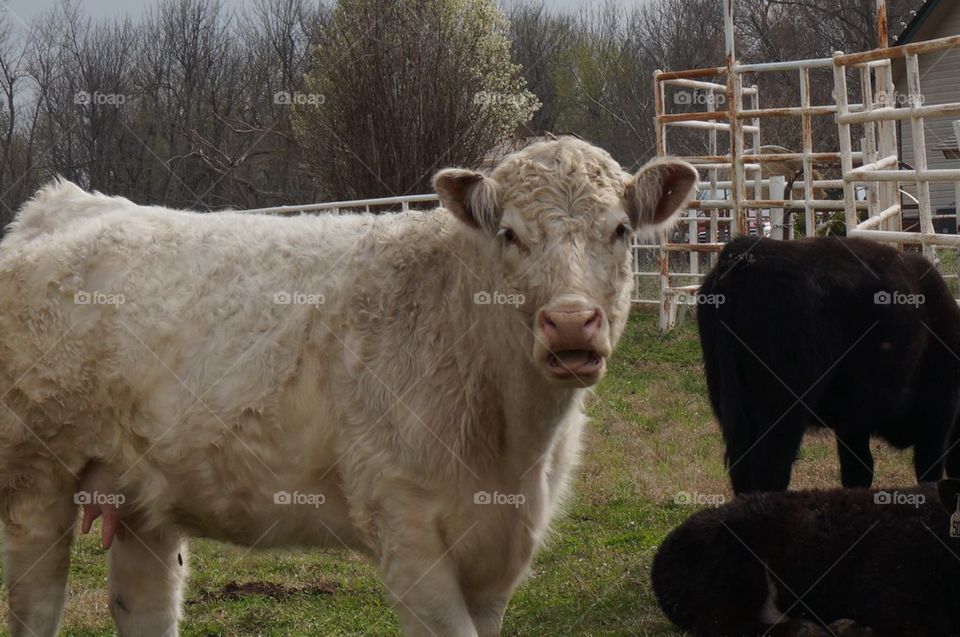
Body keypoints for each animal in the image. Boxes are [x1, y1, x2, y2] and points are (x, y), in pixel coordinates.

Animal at [0, 136, 697, 637]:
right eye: (510, 234)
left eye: (620, 231)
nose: (571, 322)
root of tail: (62, 205)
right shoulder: (407, 532)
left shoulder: (499, 553)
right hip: (37, 484)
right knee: (36, 609)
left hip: (141, 498)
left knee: (143, 606)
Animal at [697, 236, 960, 494]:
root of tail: (745, 251)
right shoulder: (938, 414)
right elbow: (927, 473)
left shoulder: (853, 424)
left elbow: (858, 472)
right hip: (784, 408)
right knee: (770, 471)